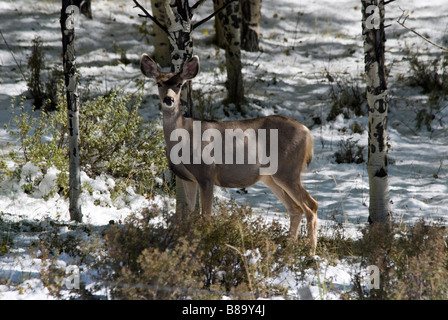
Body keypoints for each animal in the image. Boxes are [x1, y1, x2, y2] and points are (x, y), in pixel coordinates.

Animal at [140, 54, 318, 255]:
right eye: (159, 83)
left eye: (179, 84)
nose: (169, 99)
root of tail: (307, 133)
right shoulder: (188, 178)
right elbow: (190, 216)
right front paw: (187, 247)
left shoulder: (207, 174)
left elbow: (206, 216)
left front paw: (205, 247)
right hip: (271, 177)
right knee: (295, 209)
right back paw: (288, 250)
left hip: (287, 170)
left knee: (311, 206)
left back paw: (310, 253)